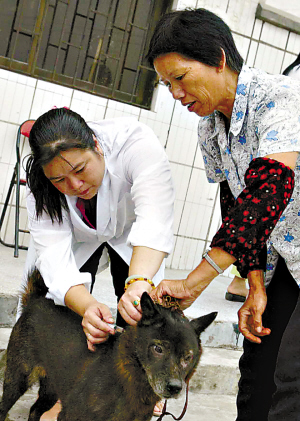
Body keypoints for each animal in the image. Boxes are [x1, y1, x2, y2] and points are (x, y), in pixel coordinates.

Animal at [0, 270, 216, 420]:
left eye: (188, 357)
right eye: (158, 349)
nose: (174, 387)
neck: (130, 378)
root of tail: (36, 301)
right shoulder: (70, 415)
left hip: (52, 387)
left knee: (35, 410)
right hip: (18, 378)